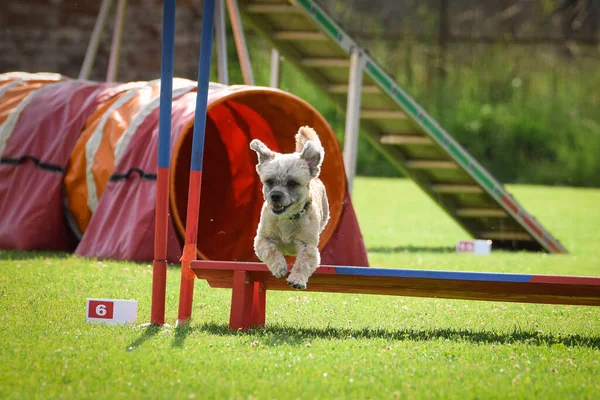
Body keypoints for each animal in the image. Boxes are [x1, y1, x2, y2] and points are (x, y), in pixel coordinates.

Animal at [251, 126, 330, 290]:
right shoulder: (262, 239)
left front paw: (297, 280)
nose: (275, 195)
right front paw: (279, 266)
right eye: (269, 181)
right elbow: (270, 250)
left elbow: (303, 262)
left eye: (292, 183)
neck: (287, 218)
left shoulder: (308, 246)